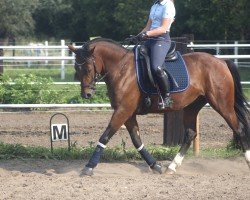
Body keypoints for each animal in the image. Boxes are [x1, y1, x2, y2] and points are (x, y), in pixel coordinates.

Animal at [68, 38, 250, 176]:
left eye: (88, 68)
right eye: (76, 67)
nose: (86, 95)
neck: (121, 69)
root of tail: (220, 61)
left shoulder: (123, 110)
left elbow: (105, 136)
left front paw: (89, 167)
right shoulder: (127, 113)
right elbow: (136, 140)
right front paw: (155, 165)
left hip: (222, 104)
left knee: (239, 128)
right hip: (192, 106)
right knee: (190, 133)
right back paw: (172, 167)